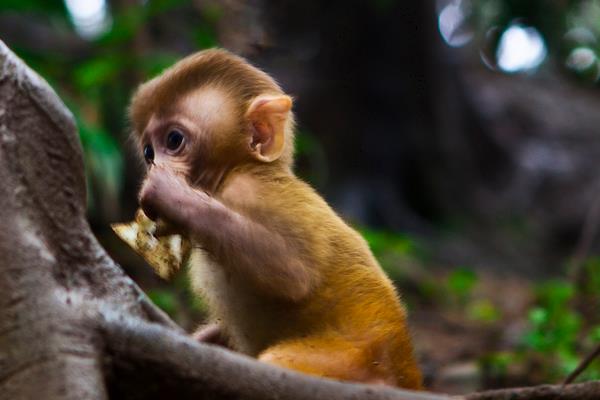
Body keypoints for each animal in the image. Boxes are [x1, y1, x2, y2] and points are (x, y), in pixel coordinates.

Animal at [129, 48, 424, 390]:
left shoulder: (253, 192)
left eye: (174, 140)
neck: (235, 172)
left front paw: (170, 195)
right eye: (148, 152)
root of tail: (407, 371)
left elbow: (292, 273)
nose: (154, 167)